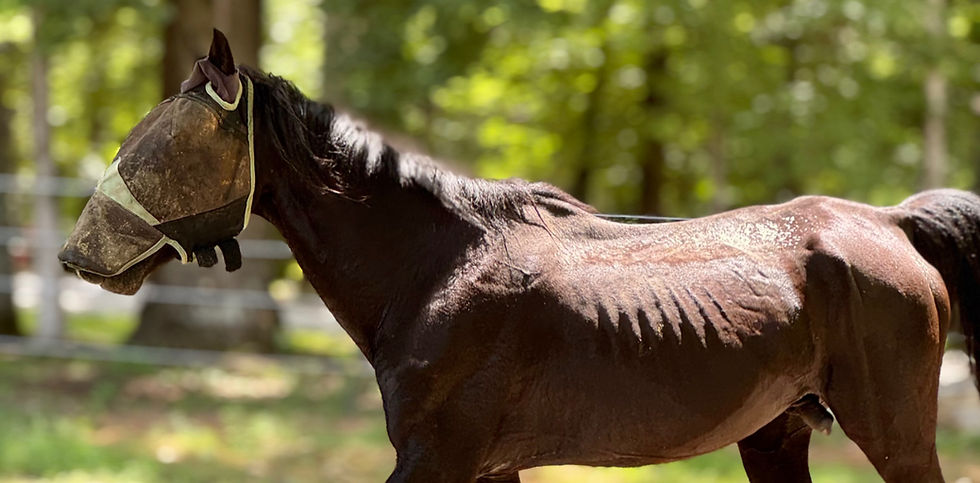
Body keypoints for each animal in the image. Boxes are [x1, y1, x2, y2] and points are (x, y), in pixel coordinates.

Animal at [59, 30, 979, 483]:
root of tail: (890, 222)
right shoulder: (487, 466)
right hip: (778, 435)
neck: (435, 271)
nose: (76, 255)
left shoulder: (436, 460)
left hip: (894, 436)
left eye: (161, 141)